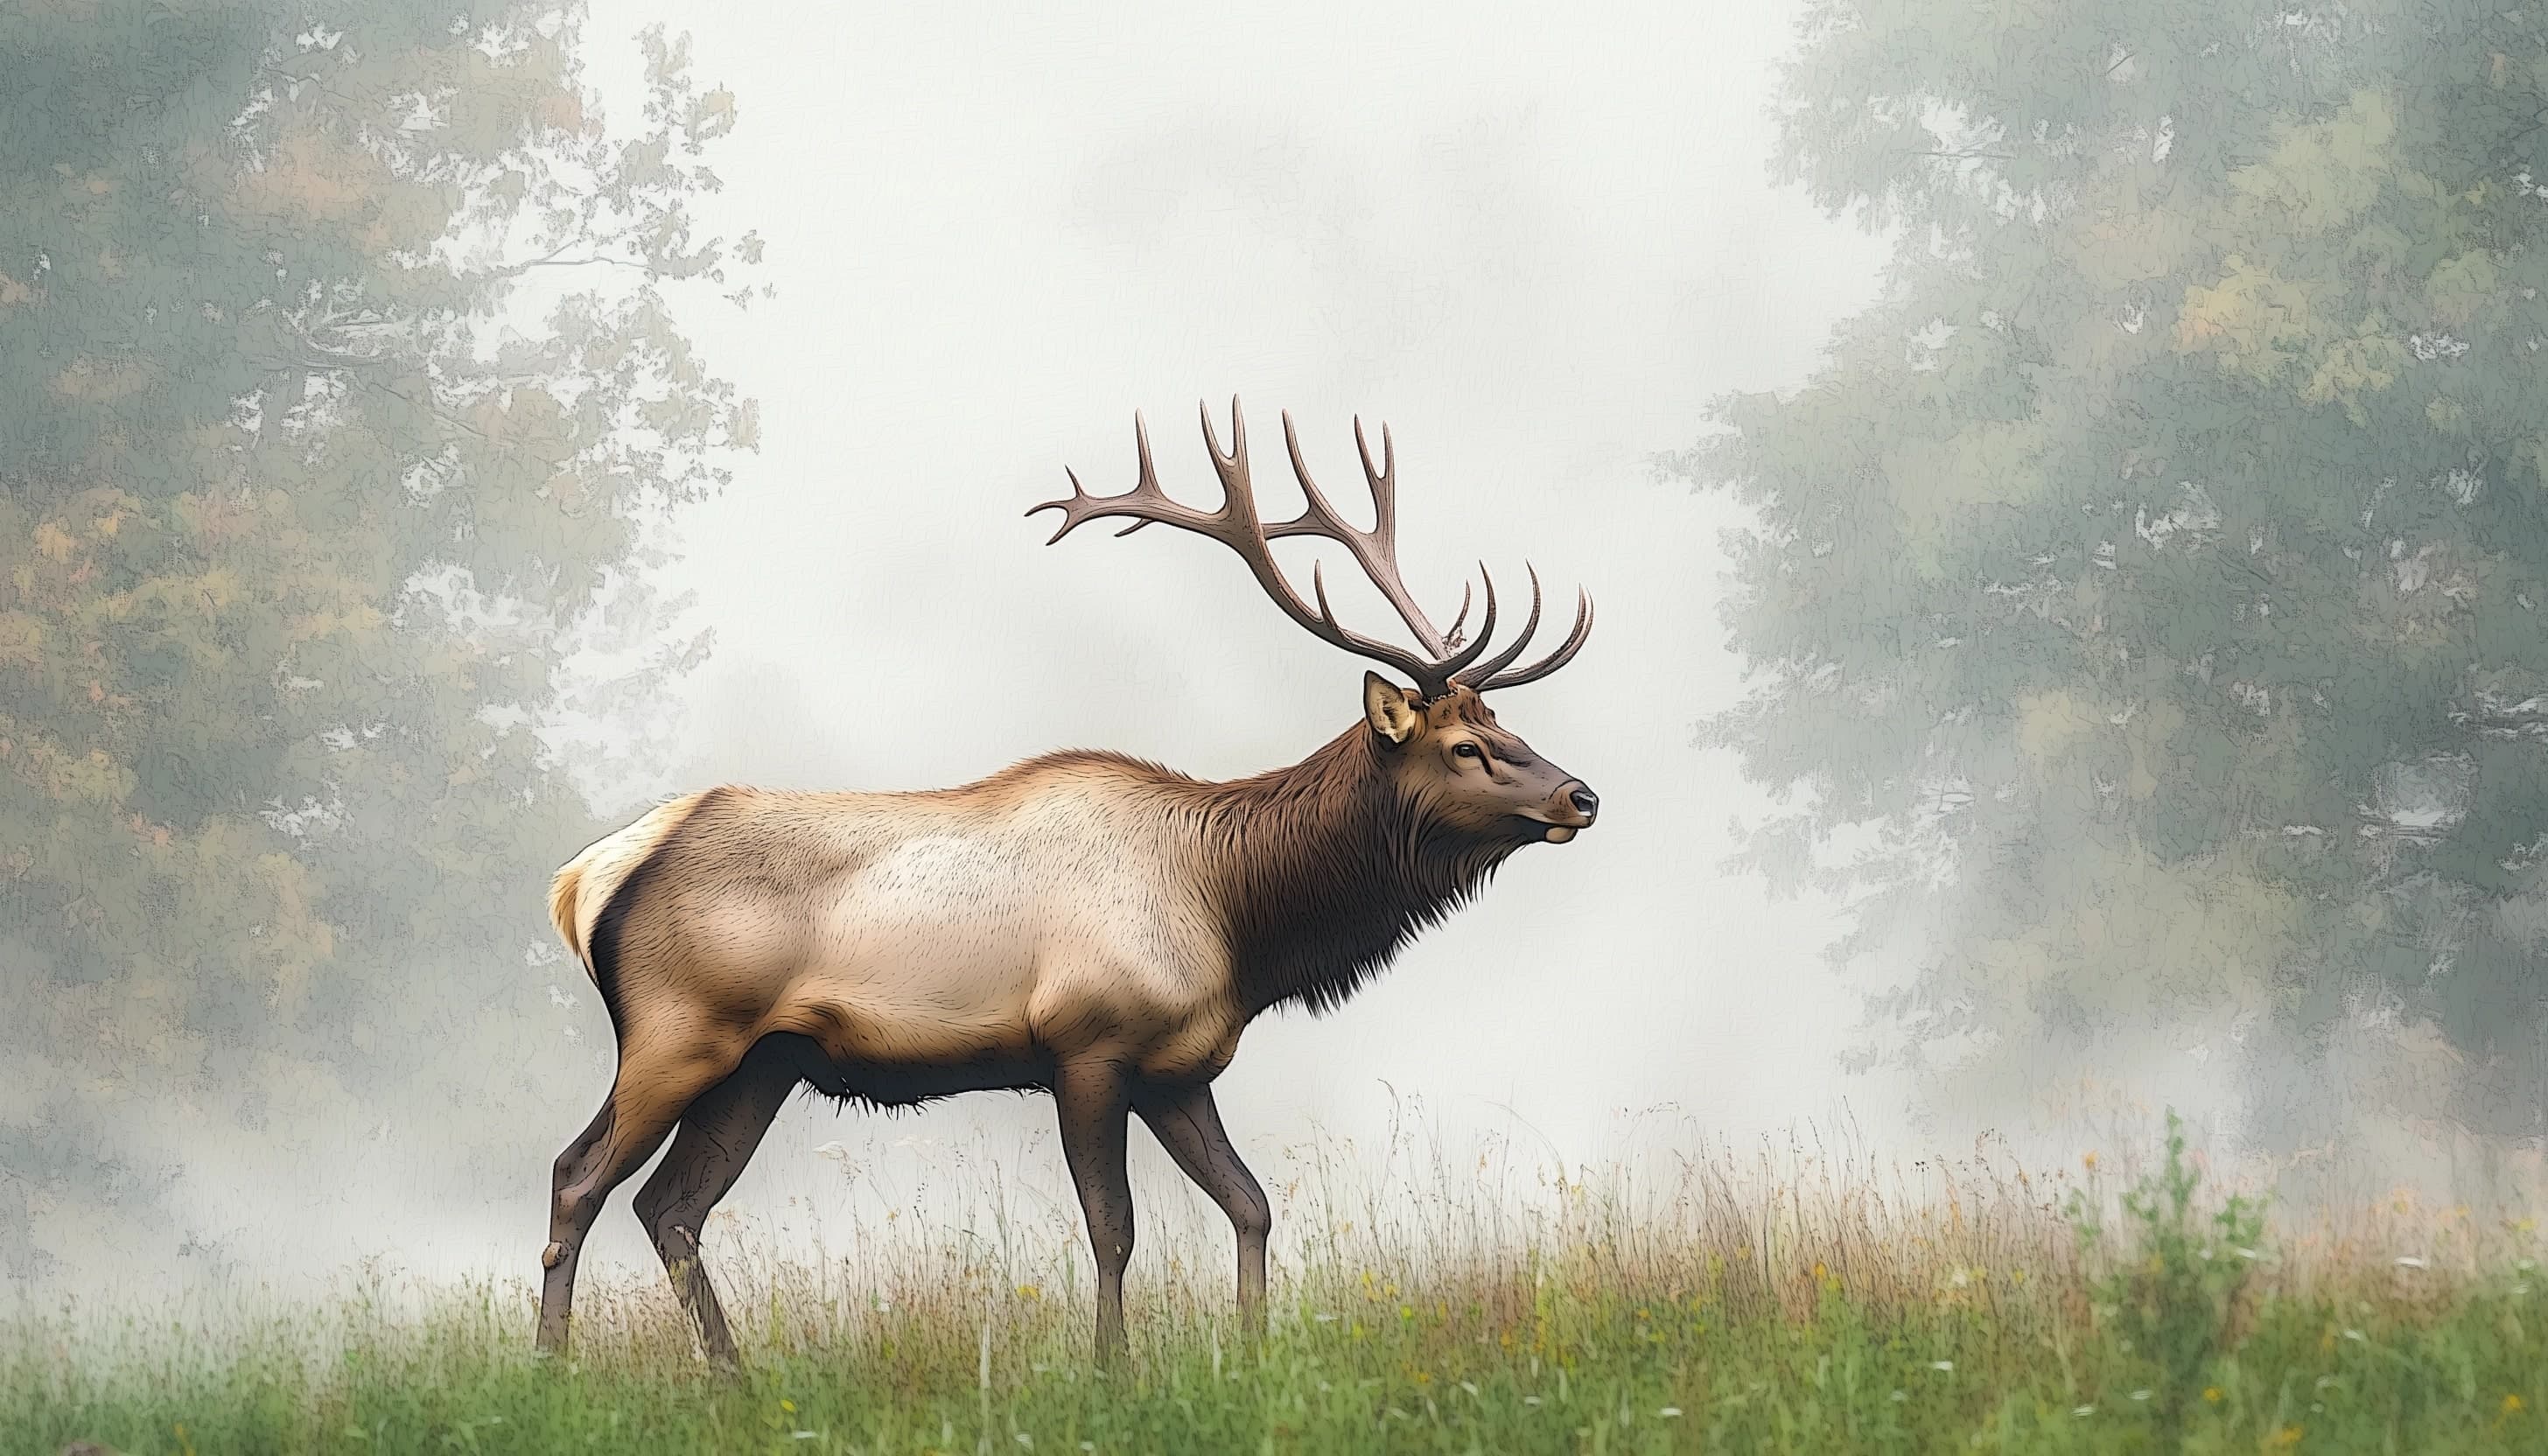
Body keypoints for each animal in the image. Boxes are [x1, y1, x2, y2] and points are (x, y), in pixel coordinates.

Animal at [535, 397, 1590, 1367]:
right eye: (1463, 746)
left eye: (1507, 728)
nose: (1579, 794)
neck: (1236, 918)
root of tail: (585, 877)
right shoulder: (1087, 1044)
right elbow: (1112, 1226)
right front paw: (1111, 1371)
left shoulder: (1177, 1068)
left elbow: (1250, 1204)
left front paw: (1251, 1353)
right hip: (679, 1030)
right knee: (578, 1176)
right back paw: (553, 1367)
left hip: (762, 1063)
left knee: (670, 1207)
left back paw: (736, 1380)